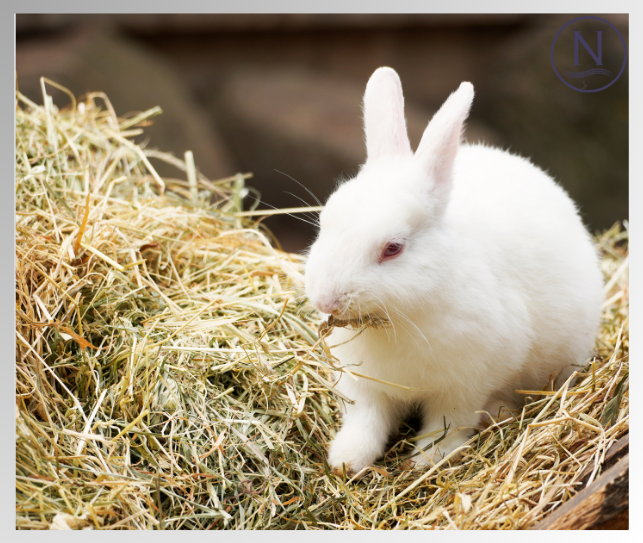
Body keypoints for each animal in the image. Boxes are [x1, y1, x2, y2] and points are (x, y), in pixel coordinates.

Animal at [304, 67, 604, 477]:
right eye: (325, 220)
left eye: (393, 248)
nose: (325, 300)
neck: (401, 320)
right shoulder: (364, 386)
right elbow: (366, 421)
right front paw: (347, 461)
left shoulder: (464, 387)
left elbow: (449, 424)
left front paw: (427, 460)